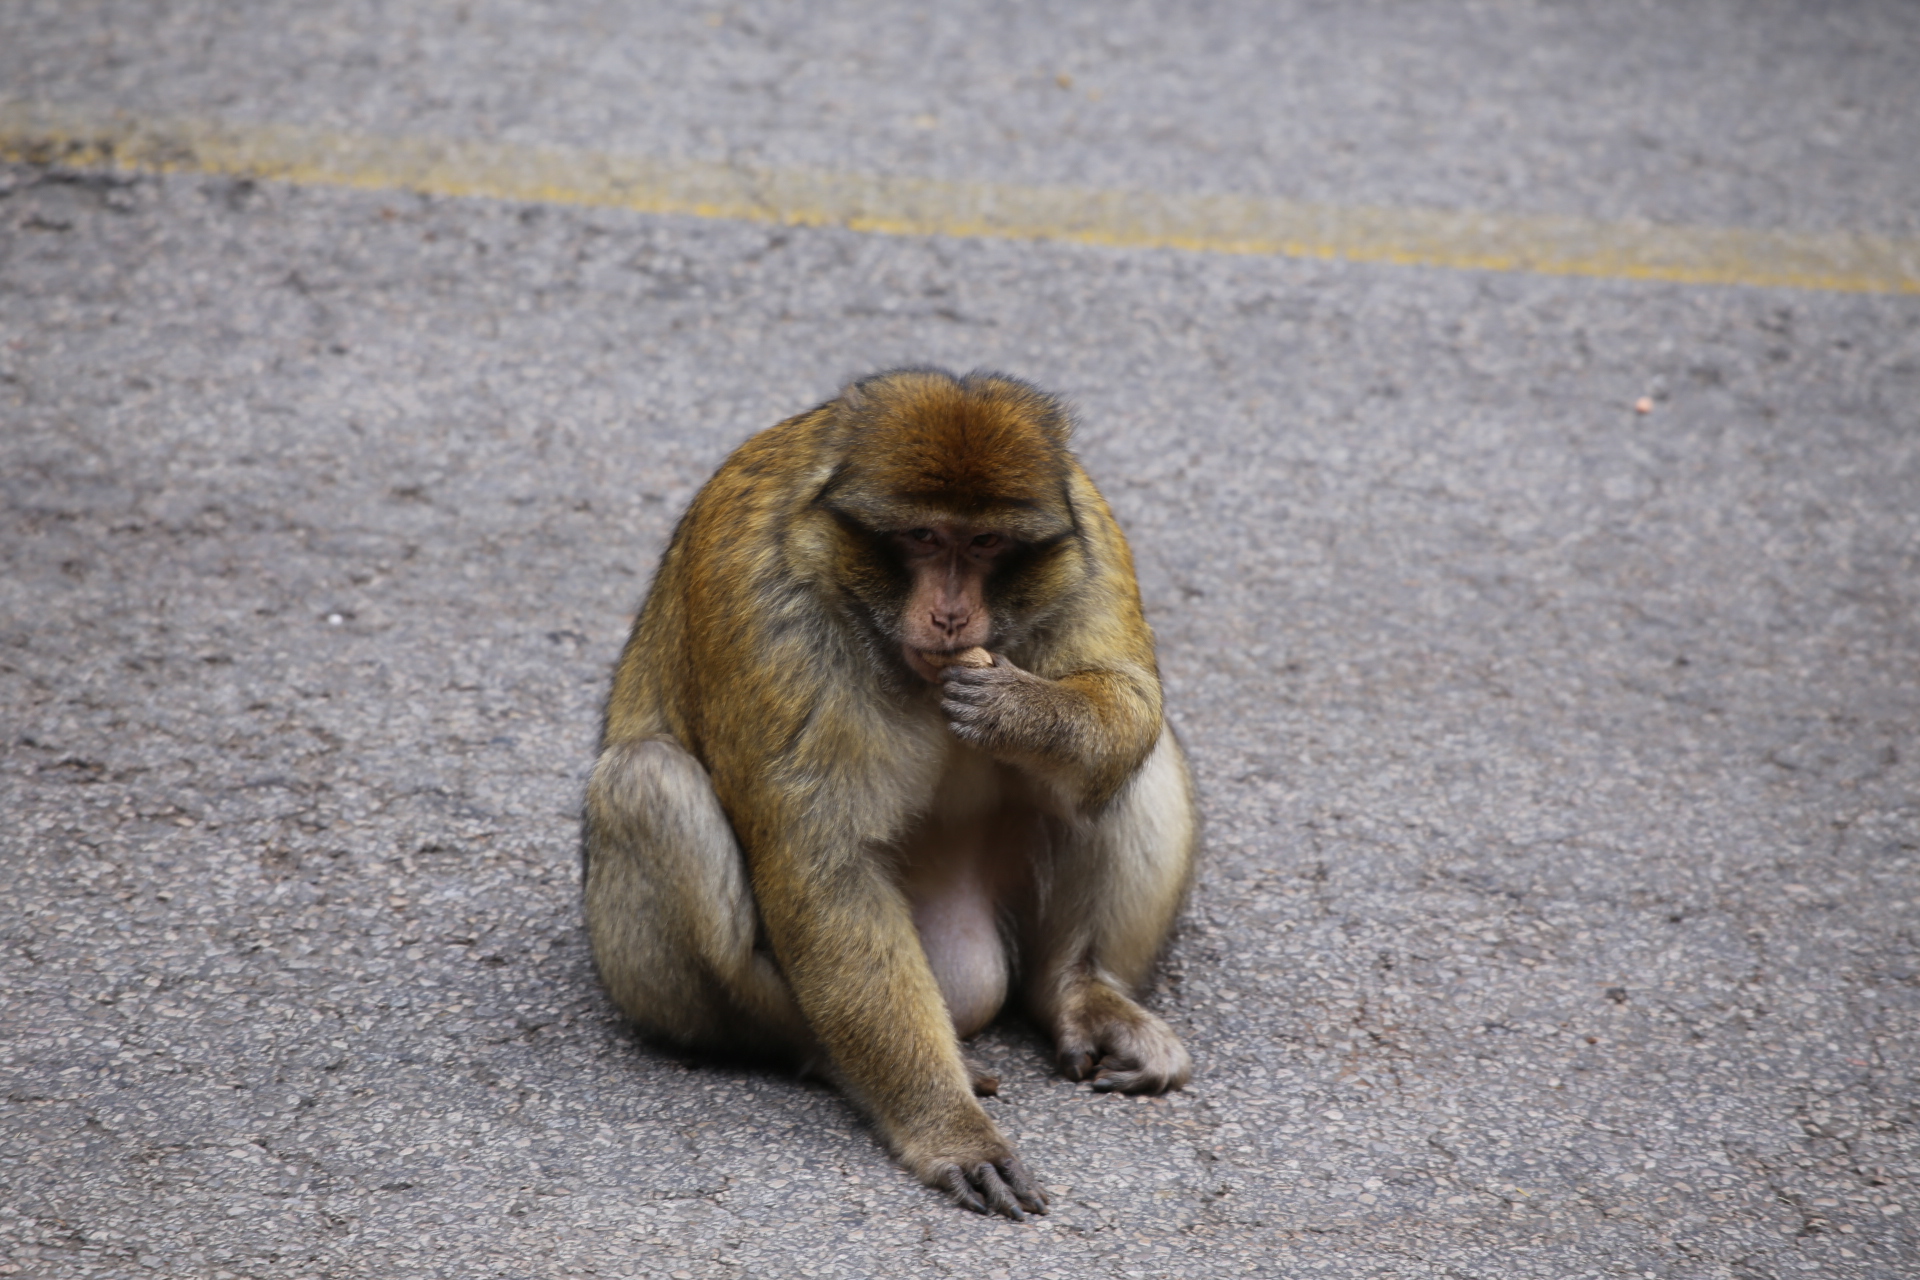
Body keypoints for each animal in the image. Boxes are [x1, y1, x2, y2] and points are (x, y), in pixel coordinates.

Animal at [576, 368, 1190, 1220]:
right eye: (924, 538)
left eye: (985, 543)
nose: (952, 613)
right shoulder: (770, 611)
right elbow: (823, 865)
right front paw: (951, 1129)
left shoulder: (1090, 539)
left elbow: (1129, 701)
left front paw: (1024, 712)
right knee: (646, 784)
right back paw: (822, 1053)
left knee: (1129, 762)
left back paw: (1077, 990)